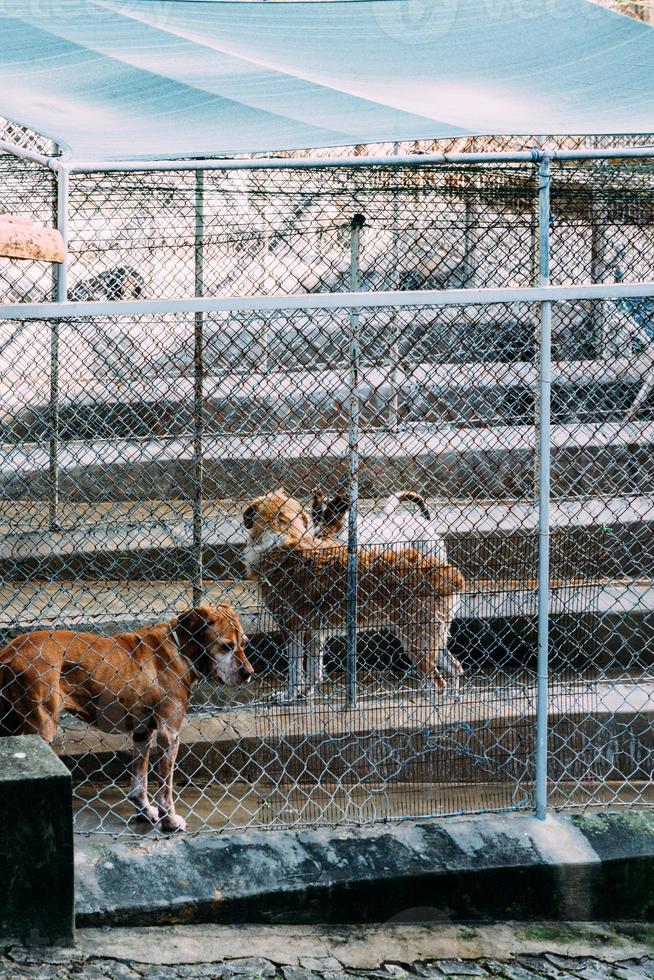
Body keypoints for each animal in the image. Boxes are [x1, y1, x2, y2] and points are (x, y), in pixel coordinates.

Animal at [0, 604, 252, 828]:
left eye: (244, 643)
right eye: (226, 646)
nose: (249, 673)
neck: (180, 647)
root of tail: (9, 652)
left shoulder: (143, 733)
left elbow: (140, 781)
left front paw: (145, 812)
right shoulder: (168, 734)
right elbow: (165, 788)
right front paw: (170, 820)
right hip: (39, 729)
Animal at [243, 486, 464, 700]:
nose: (317, 534)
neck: (283, 539)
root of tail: (451, 573)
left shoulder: (291, 628)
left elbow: (294, 672)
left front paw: (288, 696)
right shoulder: (314, 632)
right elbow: (313, 672)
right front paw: (305, 694)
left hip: (416, 641)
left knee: (439, 683)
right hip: (431, 638)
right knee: (455, 667)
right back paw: (454, 699)